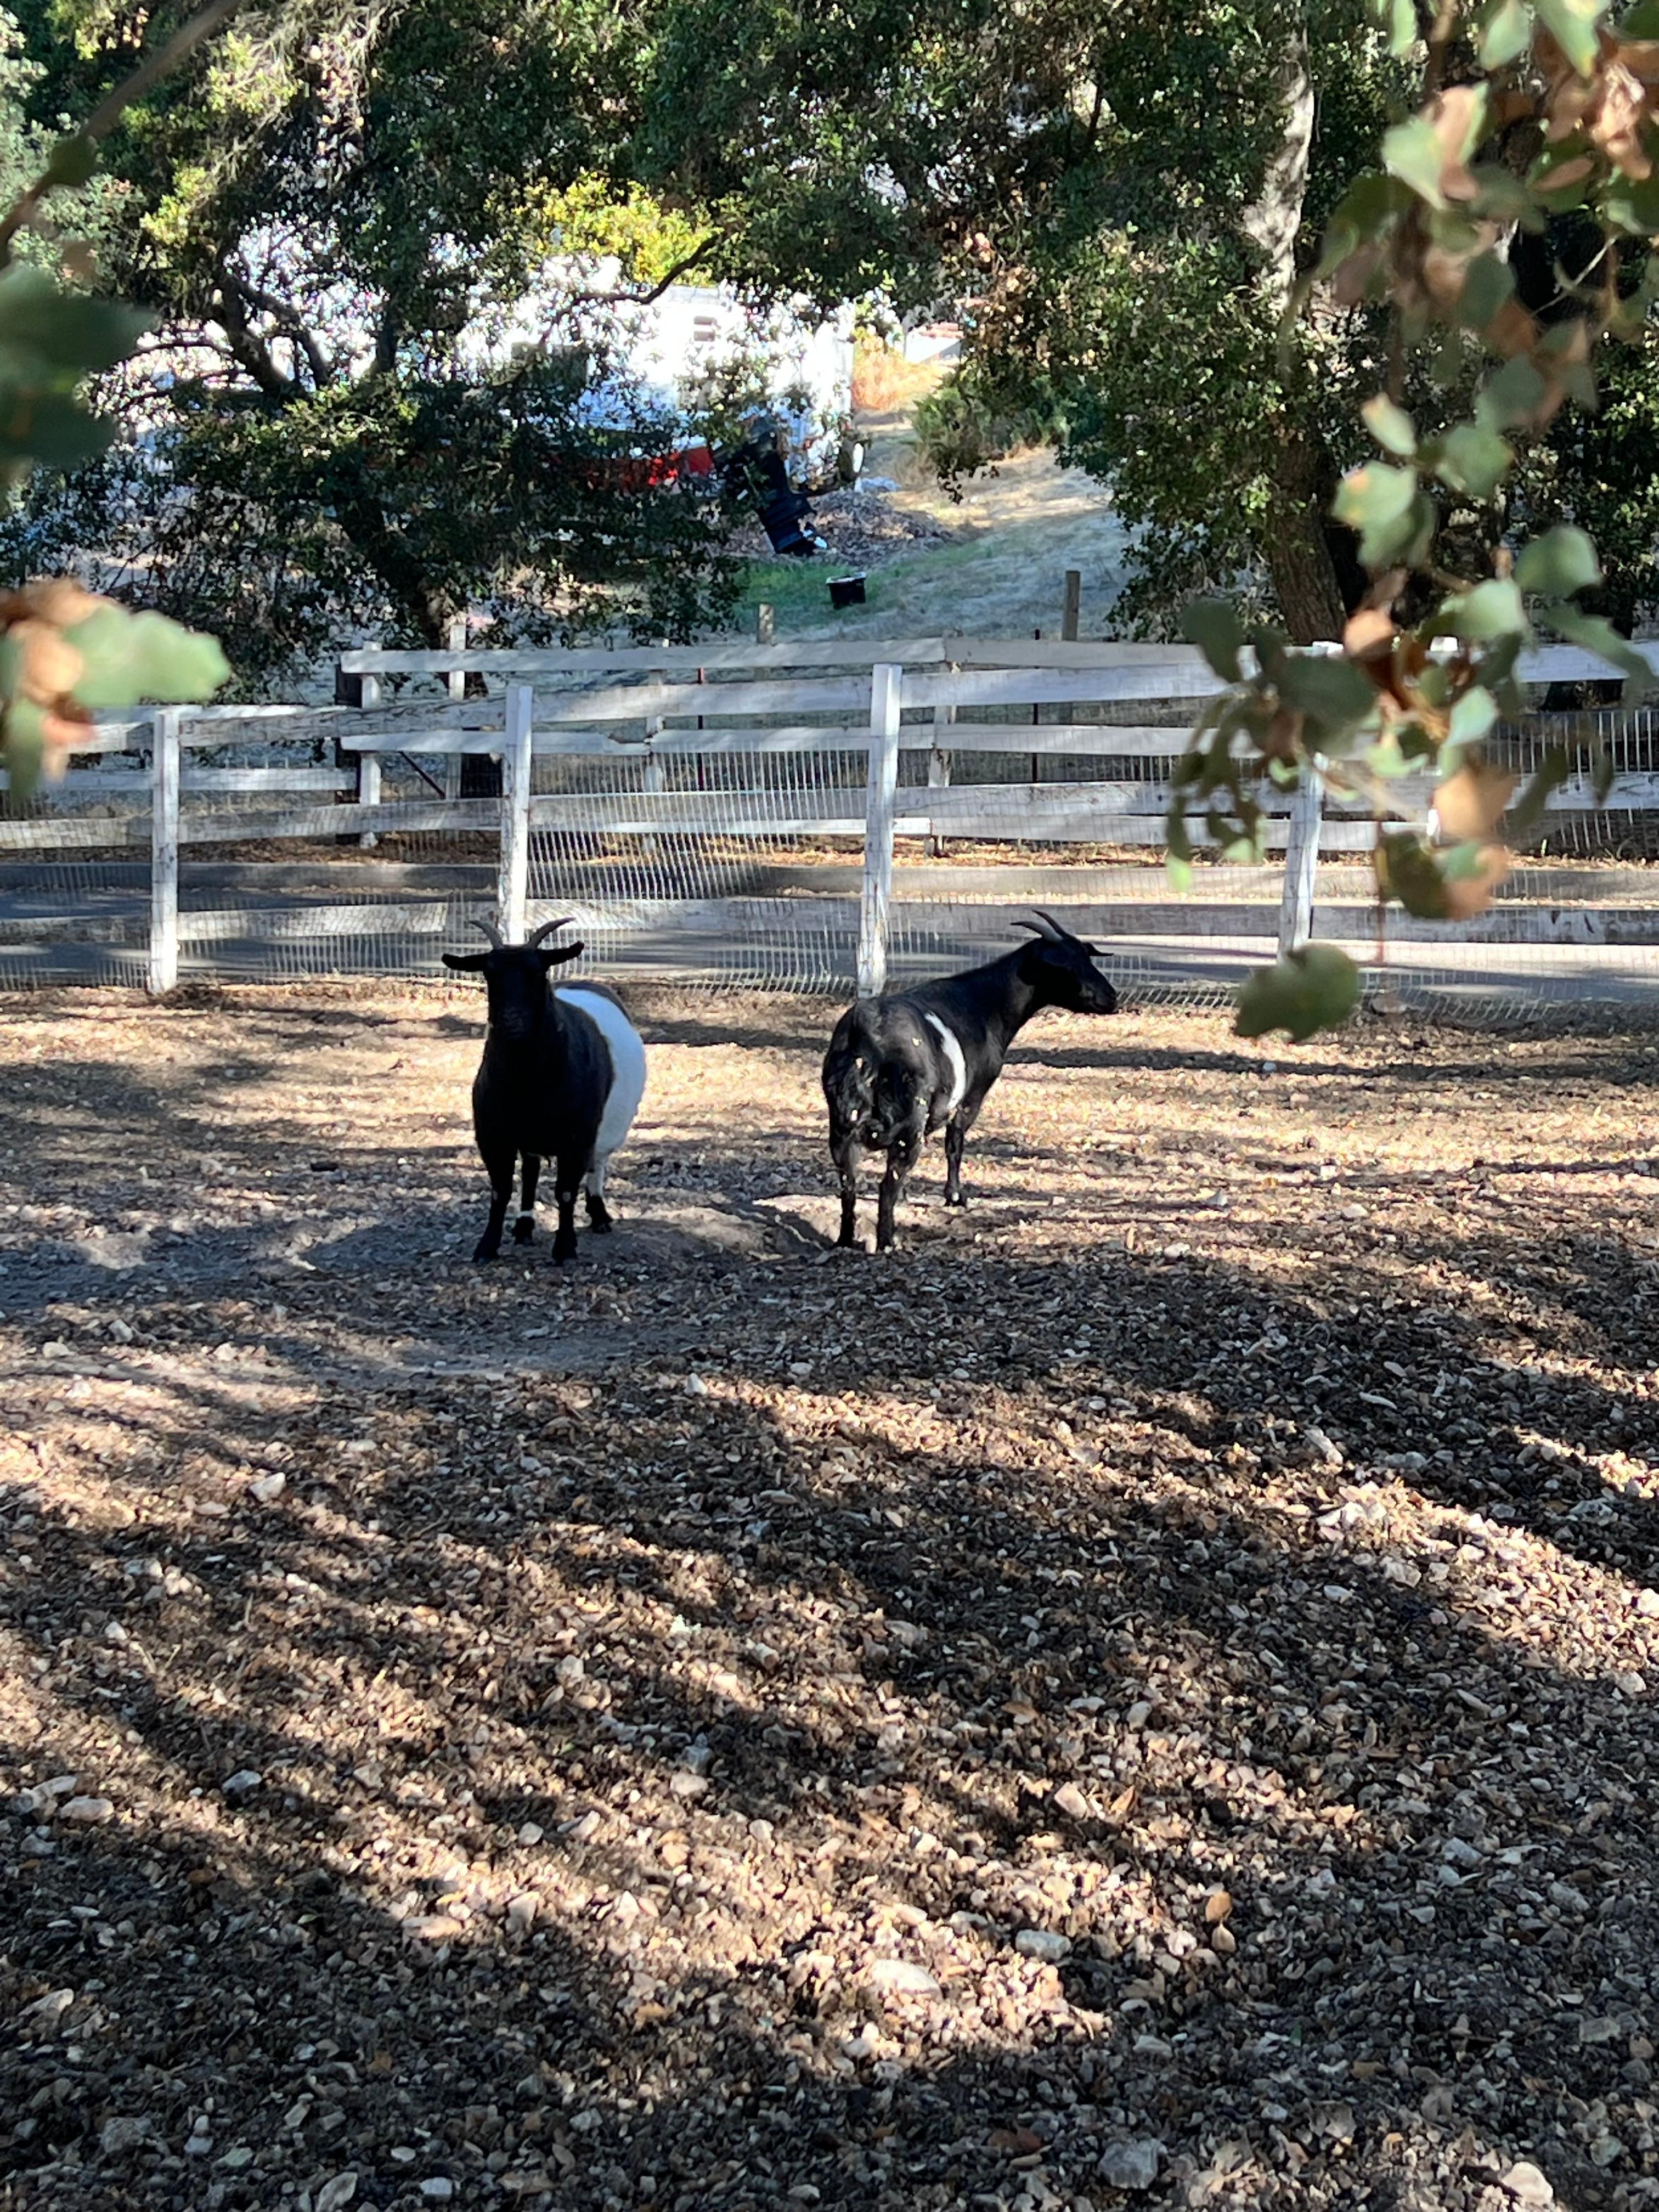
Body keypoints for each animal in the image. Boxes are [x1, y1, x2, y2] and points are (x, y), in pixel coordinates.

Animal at [442, 917, 647, 1263]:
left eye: (538, 972)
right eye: (489, 973)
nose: (510, 1021)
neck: (528, 1083)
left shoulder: (576, 1137)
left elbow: (565, 1191)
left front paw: (565, 1247)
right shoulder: (494, 1135)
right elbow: (500, 1191)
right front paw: (487, 1246)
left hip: (606, 1127)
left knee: (597, 1165)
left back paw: (600, 1216)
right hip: (531, 1136)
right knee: (531, 1171)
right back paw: (524, 1227)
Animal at [822, 912, 1119, 1251]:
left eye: (1087, 957)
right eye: (1065, 967)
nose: (1111, 997)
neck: (983, 1005)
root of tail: (866, 1041)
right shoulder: (972, 1096)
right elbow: (955, 1143)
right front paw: (955, 1196)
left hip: (841, 1128)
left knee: (849, 1185)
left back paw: (845, 1239)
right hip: (908, 1125)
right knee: (886, 1185)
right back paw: (888, 1241)